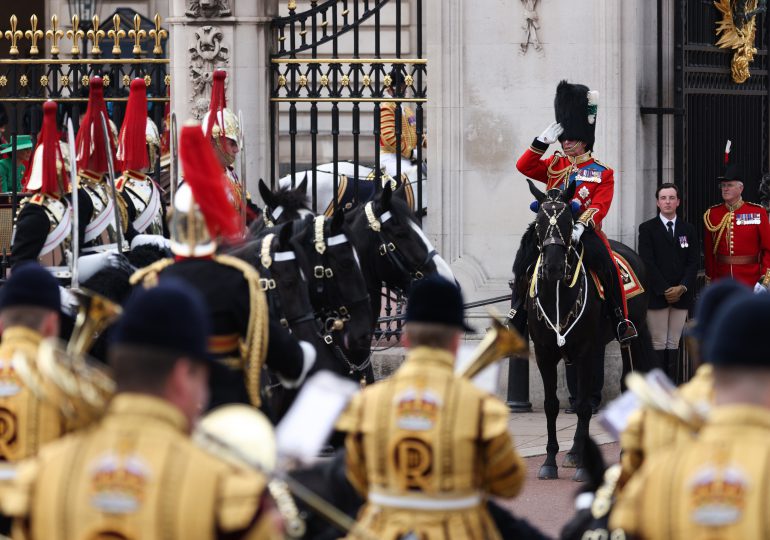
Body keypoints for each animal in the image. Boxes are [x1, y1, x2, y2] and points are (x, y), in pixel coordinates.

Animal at [524, 181, 652, 480]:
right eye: (539, 221)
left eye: (570, 222)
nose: (554, 267)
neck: (557, 295)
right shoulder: (545, 353)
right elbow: (551, 405)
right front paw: (550, 461)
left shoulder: (583, 351)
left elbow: (583, 406)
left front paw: (583, 467)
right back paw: (574, 452)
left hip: (629, 336)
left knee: (624, 383)